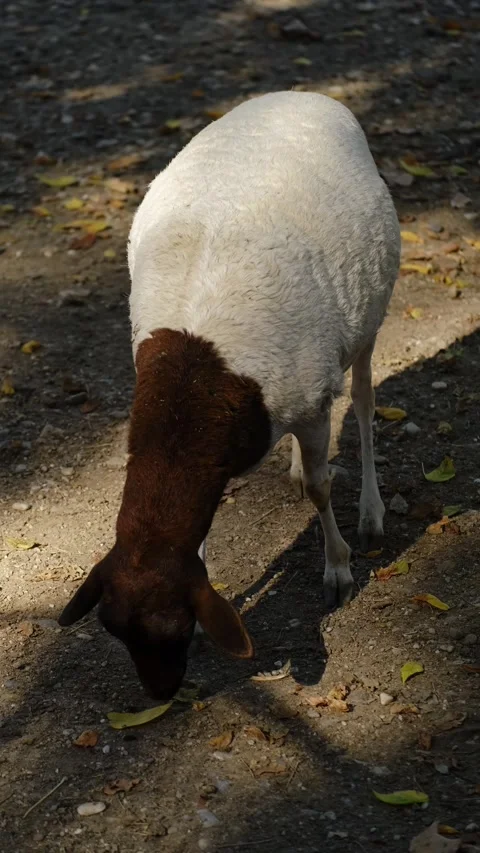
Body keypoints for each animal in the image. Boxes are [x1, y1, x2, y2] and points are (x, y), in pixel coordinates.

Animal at [58, 92, 400, 699]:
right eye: (116, 631)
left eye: (174, 628)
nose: (160, 695)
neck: (197, 381)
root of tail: (304, 94)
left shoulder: (312, 404)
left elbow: (321, 489)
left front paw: (337, 569)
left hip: (368, 319)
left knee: (361, 400)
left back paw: (370, 511)